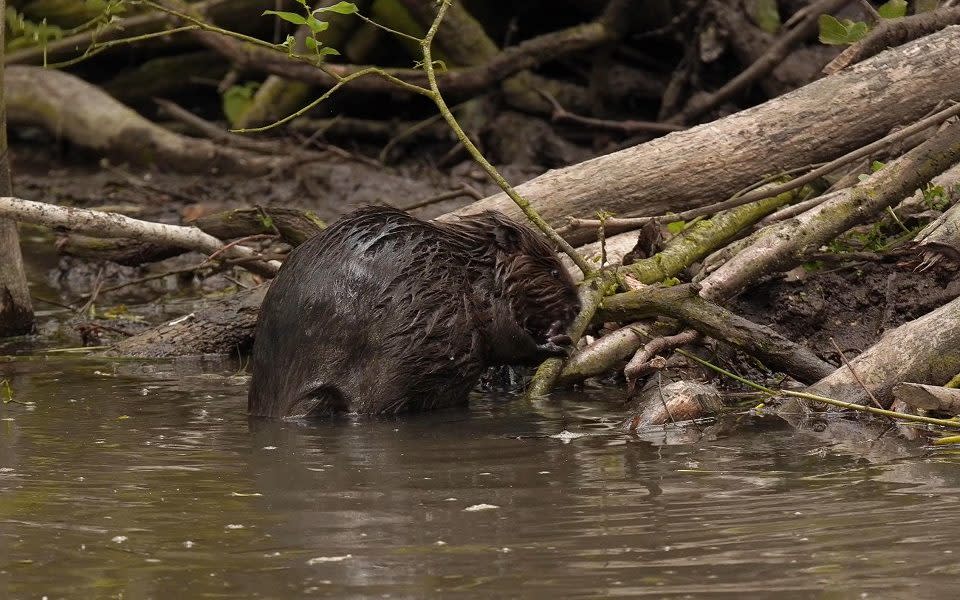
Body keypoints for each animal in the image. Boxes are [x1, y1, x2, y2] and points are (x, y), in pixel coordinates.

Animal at [248, 206, 576, 418]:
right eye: (553, 271)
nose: (577, 307)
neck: (475, 265)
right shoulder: (486, 298)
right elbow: (507, 338)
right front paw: (557, 342)